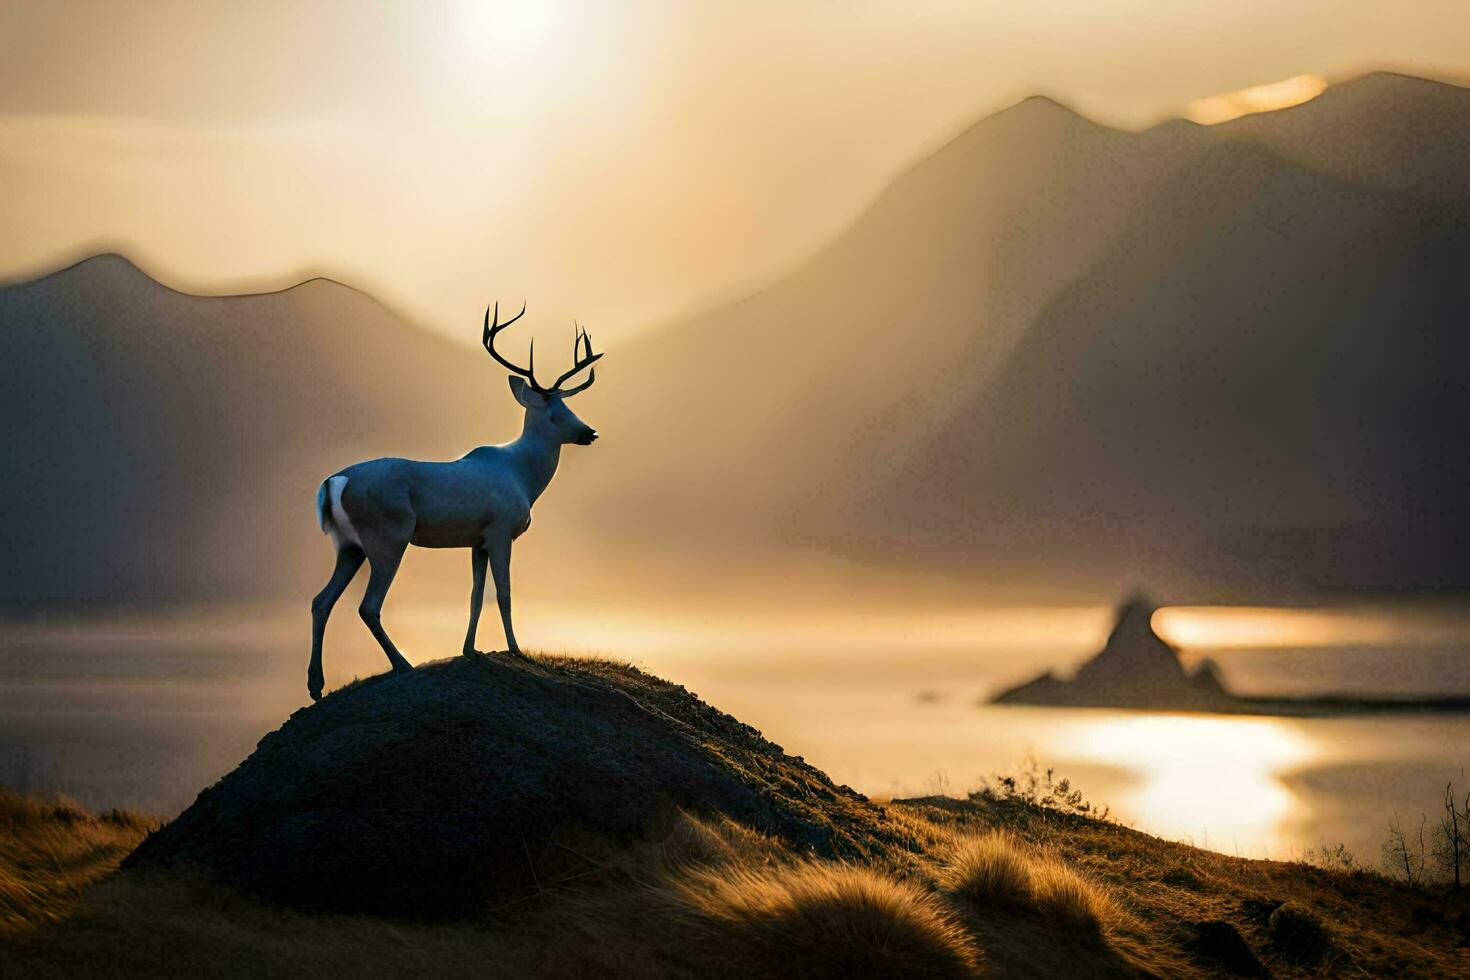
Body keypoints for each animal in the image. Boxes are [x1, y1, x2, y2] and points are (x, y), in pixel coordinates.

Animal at [307, 302, 599, 702]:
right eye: (555, 414)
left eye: (571, 407)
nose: (590, 432)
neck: (524, 479)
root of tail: (333, 482)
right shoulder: (500, 529)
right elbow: (503, 592)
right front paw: (515, 649)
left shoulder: (477, 539)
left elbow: (476, 595)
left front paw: (470, 649)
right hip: (388, 535)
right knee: (368, 606)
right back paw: (402, 664)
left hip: (349, 545)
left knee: (321, 600)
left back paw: (316, 686)